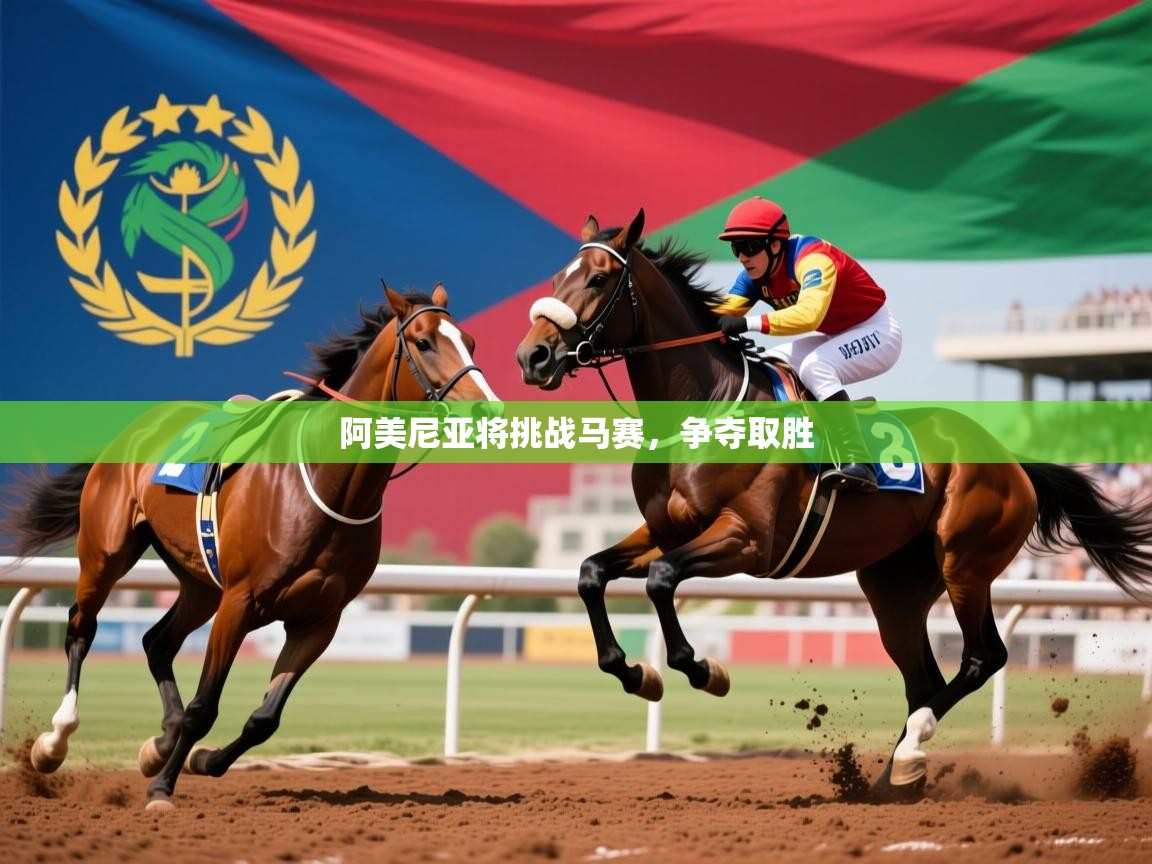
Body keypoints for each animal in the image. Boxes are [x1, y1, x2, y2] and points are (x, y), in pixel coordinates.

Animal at [2, 283, 499, 809]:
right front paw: (162, 788)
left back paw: (160, 743)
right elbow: (204, 706)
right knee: (82, 628)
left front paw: (198, 760)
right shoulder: (240, 603)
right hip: (106, 552)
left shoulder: (318, 620)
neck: (327, 484)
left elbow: (264, 719)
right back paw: (54, 743)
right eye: (425, 342)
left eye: (470, 341)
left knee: (157, 641)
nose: (488, 408)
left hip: (199, 582)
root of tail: (138, 426)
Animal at [515, 210, 1152, 796]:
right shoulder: (665, 531)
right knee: (923, 677)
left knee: (981, 658)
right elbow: (591, 572)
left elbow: (663, 580)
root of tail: (1015, 463)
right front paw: (631, 671)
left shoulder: (747, 539)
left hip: (965, 562)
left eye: (598, 280)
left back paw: (913, 749)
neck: (707, 407)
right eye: (560, 275)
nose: (533, 356)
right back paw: (895, 775)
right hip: (894, 585)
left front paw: (704, 669)